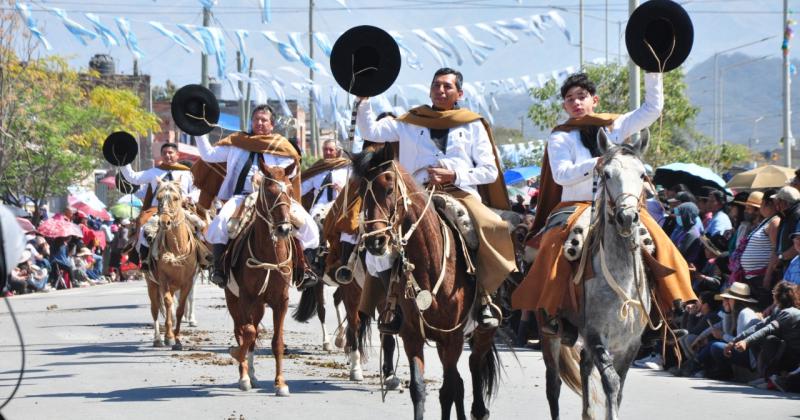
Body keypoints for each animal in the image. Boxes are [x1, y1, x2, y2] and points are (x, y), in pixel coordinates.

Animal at [147, 180, 203, 348]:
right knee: (155, 309)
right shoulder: (163, 280)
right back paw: (158, 339)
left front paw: (177, 339)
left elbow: (181, 307)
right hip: (151, 283)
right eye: (158, 198)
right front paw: (169, 336)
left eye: (176, 198)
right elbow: (167, 303)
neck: (178, 249)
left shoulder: (188, 281)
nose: (164, 222)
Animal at [223, 159, 296, 396]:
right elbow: (247, 332)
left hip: (259, 305)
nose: (284, 229)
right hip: (234, 300)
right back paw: (245, 375)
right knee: (242, 330)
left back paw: (253, 375)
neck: (269, 255)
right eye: (270, 192)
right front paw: (238, 357)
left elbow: (277, 341)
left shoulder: (281, 301)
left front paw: (280, 383)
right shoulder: (246, 297)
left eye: (289, 191)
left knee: (252, 335)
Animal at [354, 147, 500, 420]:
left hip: (482, 333)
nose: (375, 242)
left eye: (388, 189)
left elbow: (448, 389)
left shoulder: (452, 339)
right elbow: (420, 389)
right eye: (360, 193)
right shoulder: (412, 336)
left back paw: (479, 410)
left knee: (473, 366)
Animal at [544, 130, 656, 420]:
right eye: (606, 174)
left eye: (643, 175)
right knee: (553, 384)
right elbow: (611, 382)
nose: (627, 217)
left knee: (584, 365)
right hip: (549, 333)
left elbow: (619, 388)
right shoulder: (596, 335)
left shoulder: (630, 344)